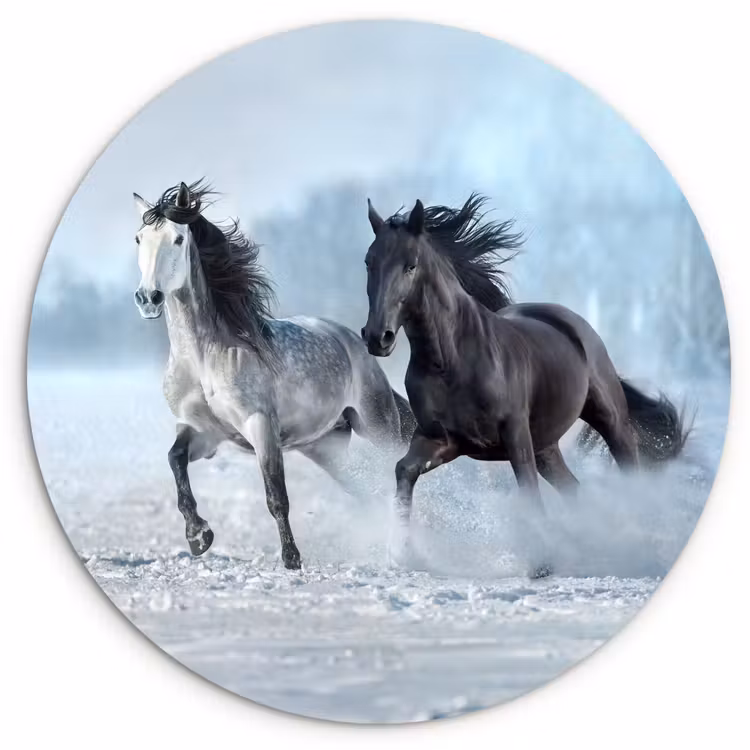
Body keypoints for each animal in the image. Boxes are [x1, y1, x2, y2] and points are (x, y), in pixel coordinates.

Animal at [132, 180, 415, 569]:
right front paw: (199, 536)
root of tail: (353, 342)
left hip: (378, 427)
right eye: (139, 238)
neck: (204, 359)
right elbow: (175, 461)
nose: (149, 298)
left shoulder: (261, 426)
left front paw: (291, 559)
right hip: (325, 447)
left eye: (177, 239)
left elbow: (276, 496)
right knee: (367, 491)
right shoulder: (203, 432)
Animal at [361, 194, 686, 573]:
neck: (451, 361)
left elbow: (527, 490)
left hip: (608, 418)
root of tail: (570, 321)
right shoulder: (442, 439)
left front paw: (542, 563)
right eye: (369, 262)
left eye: (410, 266)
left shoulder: (514, 434)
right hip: (546, 445)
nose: (377, 337)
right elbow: (404, 470)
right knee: (573, 488)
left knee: (628, 468)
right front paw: (402, 553)